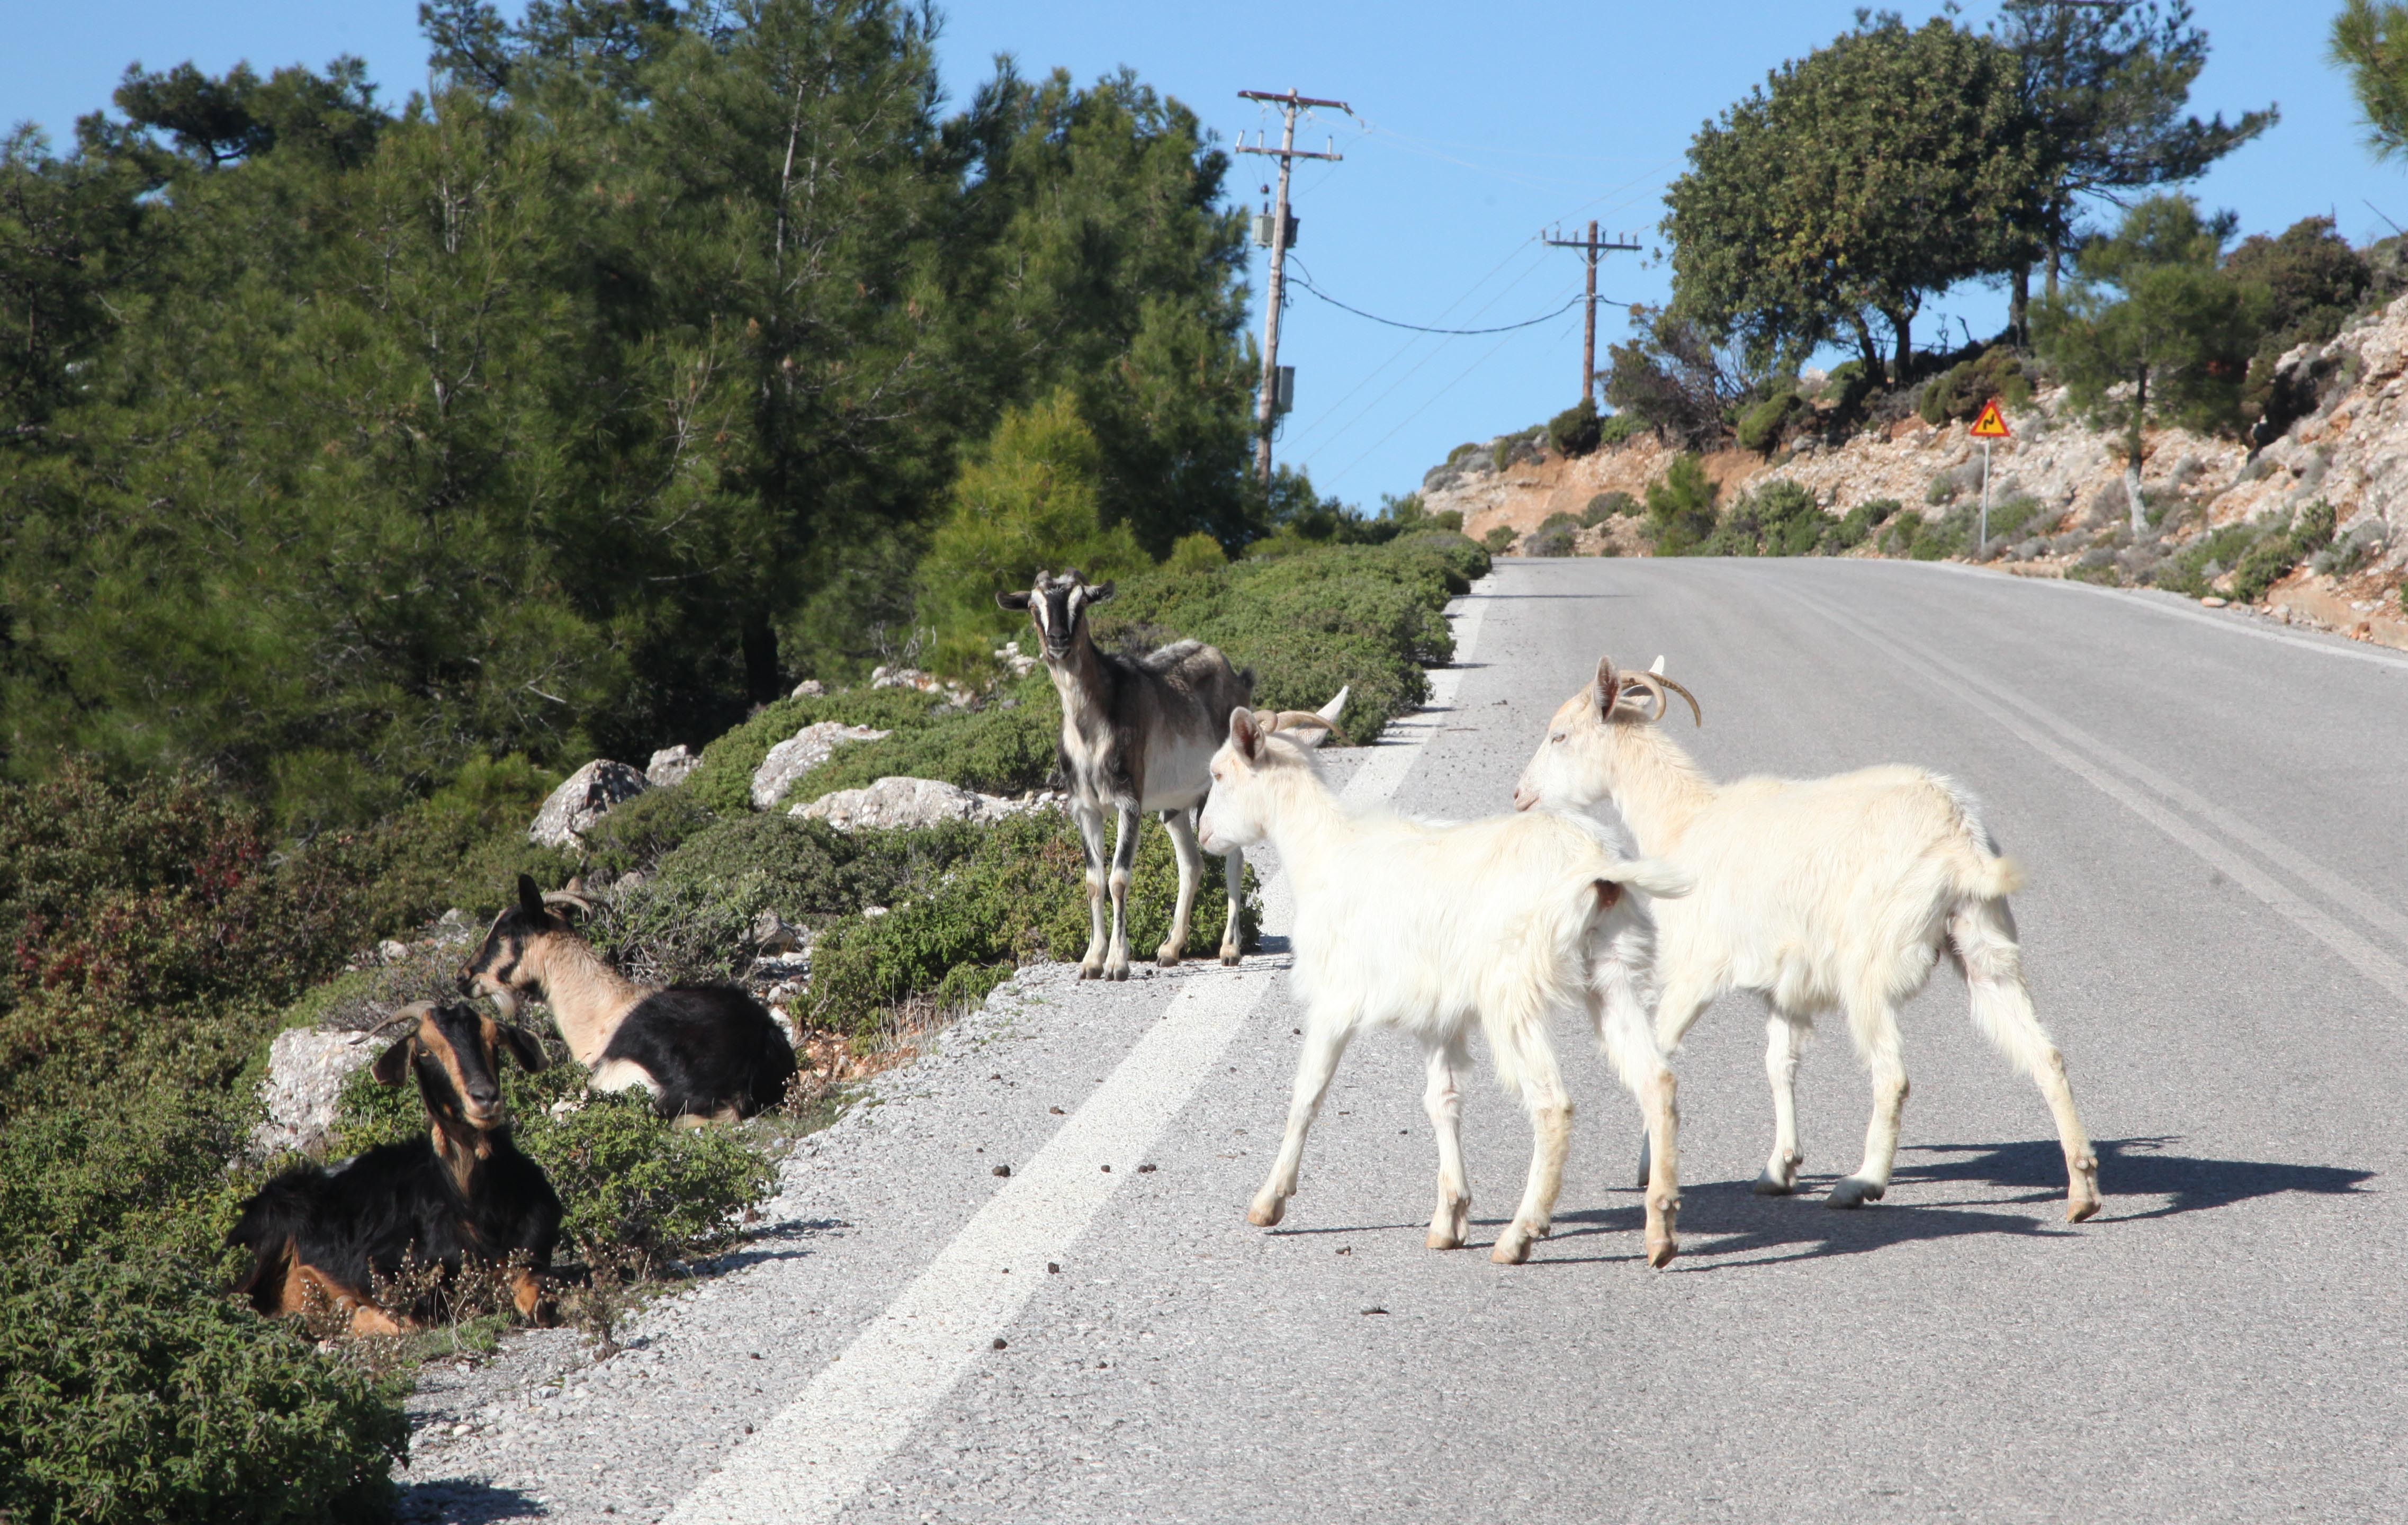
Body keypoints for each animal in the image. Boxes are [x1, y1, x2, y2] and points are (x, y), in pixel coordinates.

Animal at [227, 997, 561, 1330]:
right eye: (424, 1050)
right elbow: (406, 1318)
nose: (485, 1098)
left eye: (494, 1041)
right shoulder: (382, 1267)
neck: (472, 1205)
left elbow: (535, 1299)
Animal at [1199, 689, 1695, 1262]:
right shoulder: (1439, 1016)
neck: (1324, 853)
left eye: (1218, 773)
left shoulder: (1335, 999)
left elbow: (1307, 1095)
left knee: (1552, 1105)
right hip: (1613, 972)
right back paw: (1661, 1232)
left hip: (1513, 992)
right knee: (1657, 1080)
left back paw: (1520, 1234)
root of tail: (1597, 866)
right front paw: (1449, 1219)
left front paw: (1269, 1201)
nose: (1204, 834)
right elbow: (1443, 1103)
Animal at [1512, 655, 2099, 1224]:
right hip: (1986, 947)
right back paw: (2083, 1190)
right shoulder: (1784, 985)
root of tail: (1960, 839)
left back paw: (1861, 1184)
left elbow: (1661, 1050)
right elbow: (1780, 1066)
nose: (1520, 795)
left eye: (1560, 736)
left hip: (1869, 969)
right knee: (2046, 1055)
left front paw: (1648, 1167)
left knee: (1892, 1076)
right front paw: (1779, 1169)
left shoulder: (1694, 968)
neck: (1685, 823)